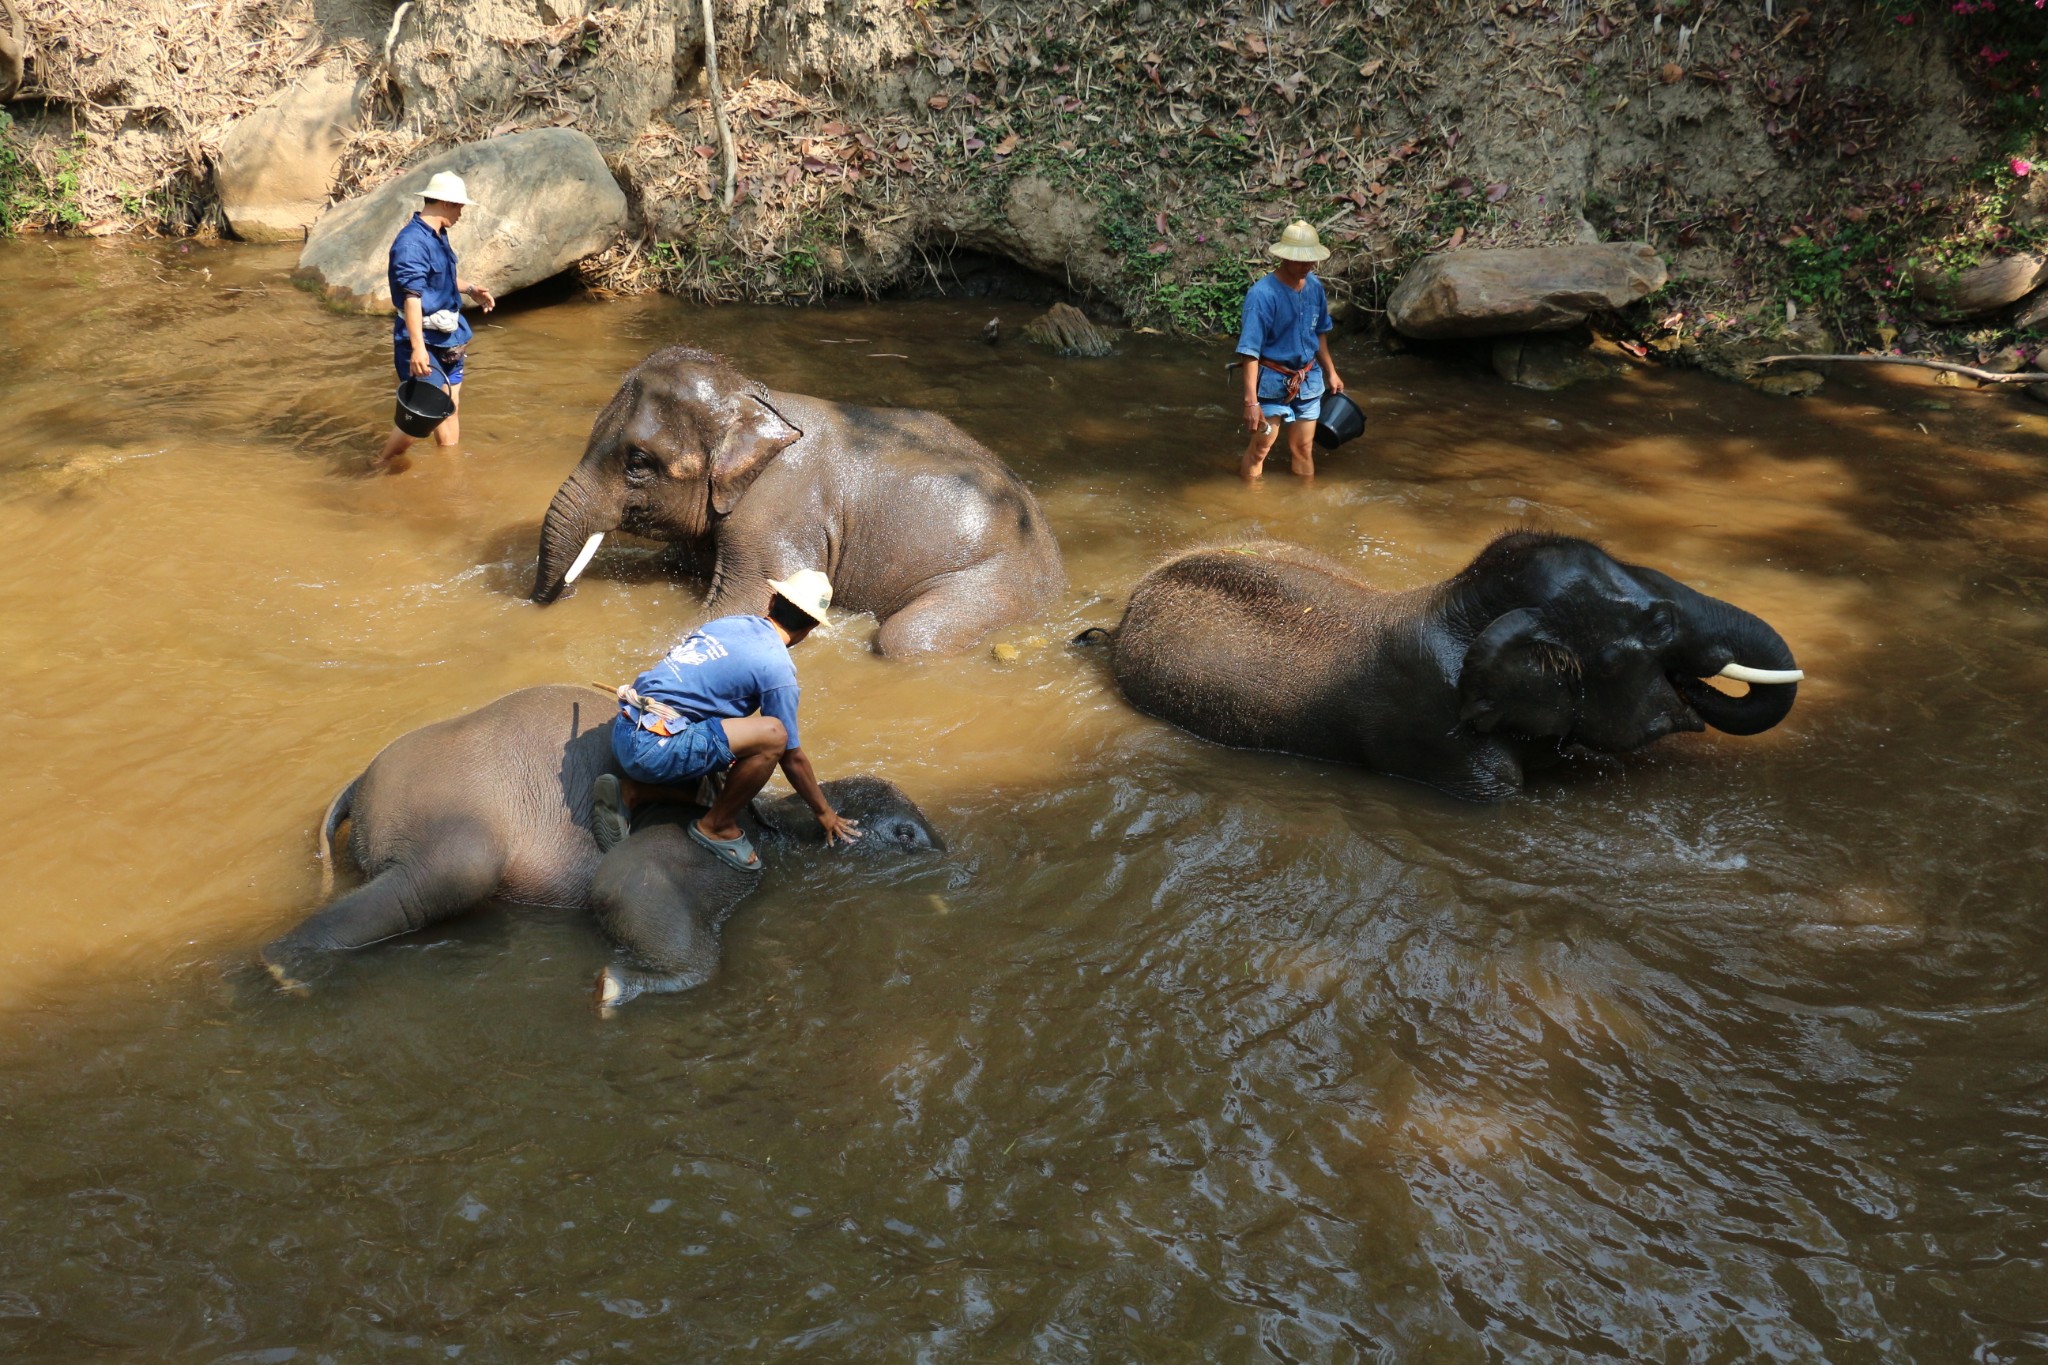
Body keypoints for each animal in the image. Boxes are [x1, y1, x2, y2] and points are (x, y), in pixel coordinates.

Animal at [258, 687, 950, 998]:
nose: (947, 854)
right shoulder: (701, 843)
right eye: (907, 834)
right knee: (446, 875)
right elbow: (625, 886)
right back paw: (284, 966)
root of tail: (360, 785)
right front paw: (615, 988)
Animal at [528, 347, 1064, 654]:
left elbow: (745, 604)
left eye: (638, 462)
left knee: (908, 640)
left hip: (996, 583)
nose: (555, 599)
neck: (756, 400)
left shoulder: (773, 515)